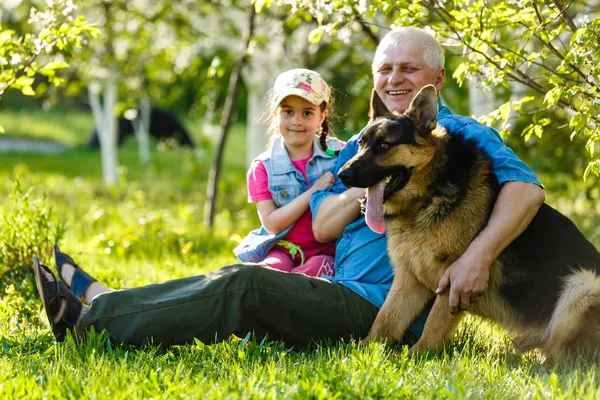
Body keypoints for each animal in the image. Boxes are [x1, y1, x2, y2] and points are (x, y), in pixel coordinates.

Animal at [338, 85, 600, 366]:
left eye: (384, 145)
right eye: (361, 144)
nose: (342, 176)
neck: (430, 191)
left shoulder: (454, 278)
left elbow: (433, 326)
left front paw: (417, 357)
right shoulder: (409, 280)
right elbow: (384, 321)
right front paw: (362, 352)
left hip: (582, 286)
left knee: (564, 361)